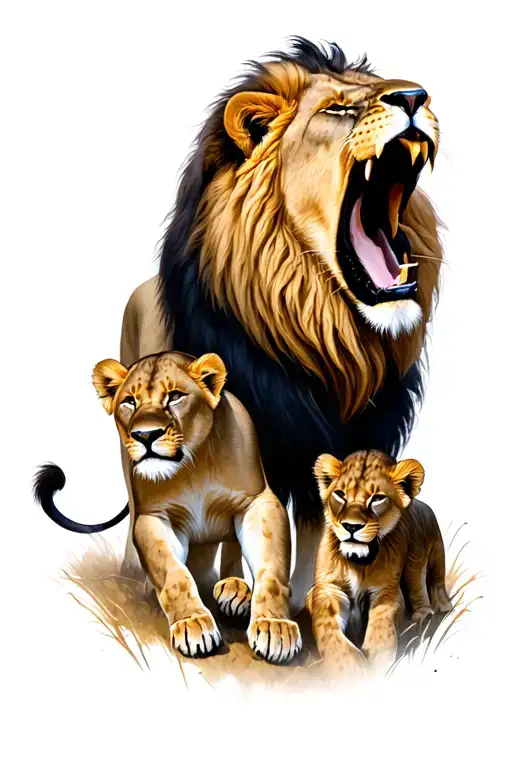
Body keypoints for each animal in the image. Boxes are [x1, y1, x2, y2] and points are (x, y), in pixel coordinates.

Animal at [33, 351, 302, 662]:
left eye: (174, 397)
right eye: (129, 401)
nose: (146, 435)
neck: (192, 468)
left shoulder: (258, 501)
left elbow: (271, 568)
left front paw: (275, 627)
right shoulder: (154, 517)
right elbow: (174, 573)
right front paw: (192, 624)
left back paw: (234, 588)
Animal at [307, 450, 451, 673]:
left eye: (377, 498)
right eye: (340, 494)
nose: (351, 526)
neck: (358, 561)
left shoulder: (387, 589)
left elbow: (382, 625)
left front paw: (377, 663)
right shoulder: (327, 588)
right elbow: (327, 627)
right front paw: (350, 668)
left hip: (428, 555)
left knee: (427, 582)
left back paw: (430, 611)